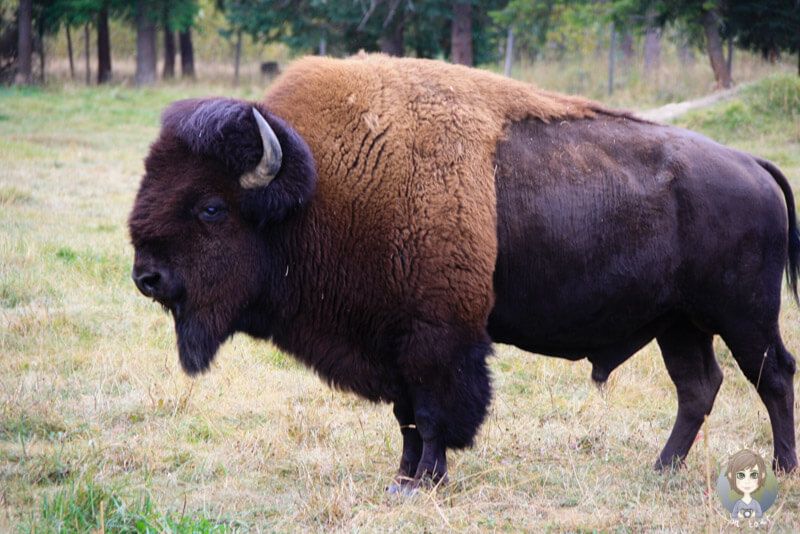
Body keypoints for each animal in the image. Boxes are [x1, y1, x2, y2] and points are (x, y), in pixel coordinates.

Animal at [128, 53, 796, 490]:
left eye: (211, 208)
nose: (147, 277)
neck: (322, 187)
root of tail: (753, 165)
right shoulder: (391, 341)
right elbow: (405, 417)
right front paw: (402, 477)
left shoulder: (437, 338)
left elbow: (433, 414)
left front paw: (425, 481)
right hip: (679, 323)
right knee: (698, 387)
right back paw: (662, 469)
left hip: (743, 317)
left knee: (773, 376)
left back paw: (781, 469)